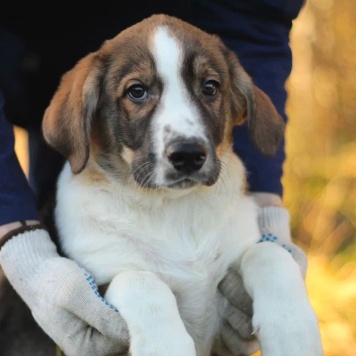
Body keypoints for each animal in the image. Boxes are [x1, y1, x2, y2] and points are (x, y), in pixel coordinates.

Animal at [41, 13, 322, 356]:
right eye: (137, 91)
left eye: (210, 87)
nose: (188, 154)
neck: (173, 208)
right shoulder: (100, 280)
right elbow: (141, 280)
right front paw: (165, 344)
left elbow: (269, 253)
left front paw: (292, 328)